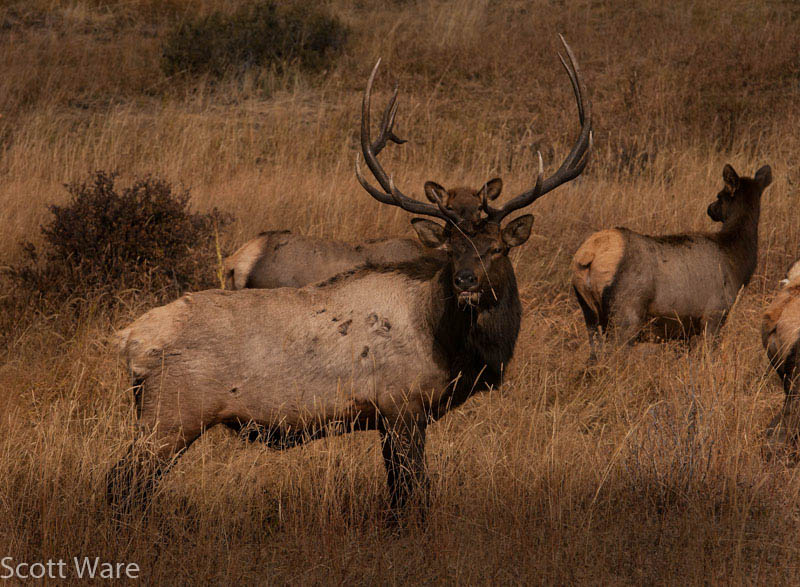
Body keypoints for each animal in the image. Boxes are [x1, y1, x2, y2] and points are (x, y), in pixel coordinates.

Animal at [107, 35, 591, 517]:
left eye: (497, 248)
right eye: (450, 250)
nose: (466, 282)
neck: (448, 346)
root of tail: (130, 339)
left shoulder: (388, 419)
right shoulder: (402, 406)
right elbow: (412, 495)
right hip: (171, 415)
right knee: (122, 483)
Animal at [572, 163, 772, 360]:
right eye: (720, 194)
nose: (710, 208)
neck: (735, 262)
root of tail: (589, 256)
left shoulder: (687, 329)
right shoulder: (714, 314)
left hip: (589, 313)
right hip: (625, 313)